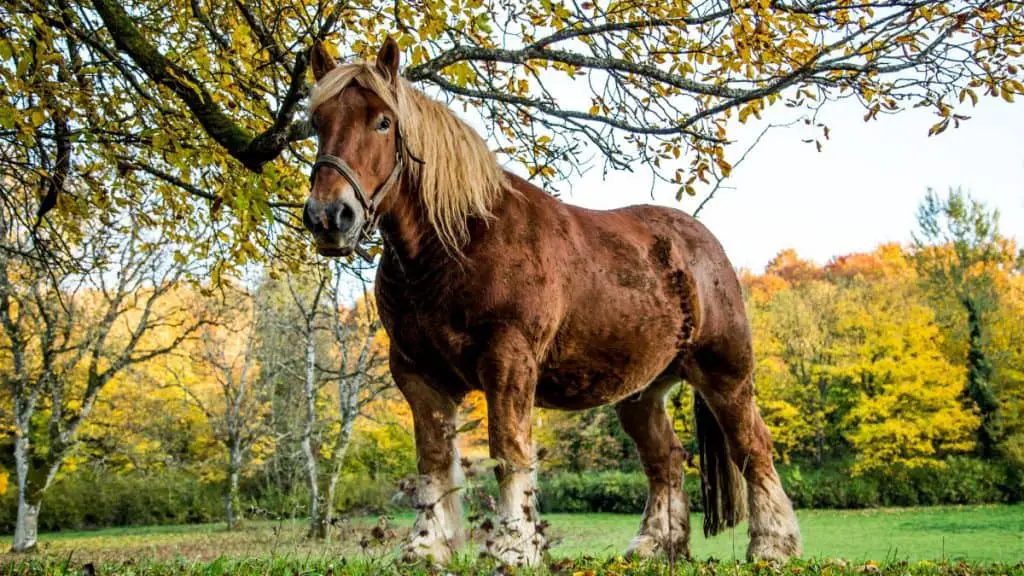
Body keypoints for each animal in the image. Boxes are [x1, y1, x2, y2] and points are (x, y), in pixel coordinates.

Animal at [299, 36, 802, 565]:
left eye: (383, 121)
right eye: (317, 122)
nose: (329, 216)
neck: (457, 246)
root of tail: (706, 247)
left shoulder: (508, 362)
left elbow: (509, 452)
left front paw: (512, 547)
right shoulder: (418, 373)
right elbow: (434, 460)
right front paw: (427, 547)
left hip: (726, 376)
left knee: (753, 447)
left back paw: (772, 545)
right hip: (641, 393)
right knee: (665, 458)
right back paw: (654, 546)